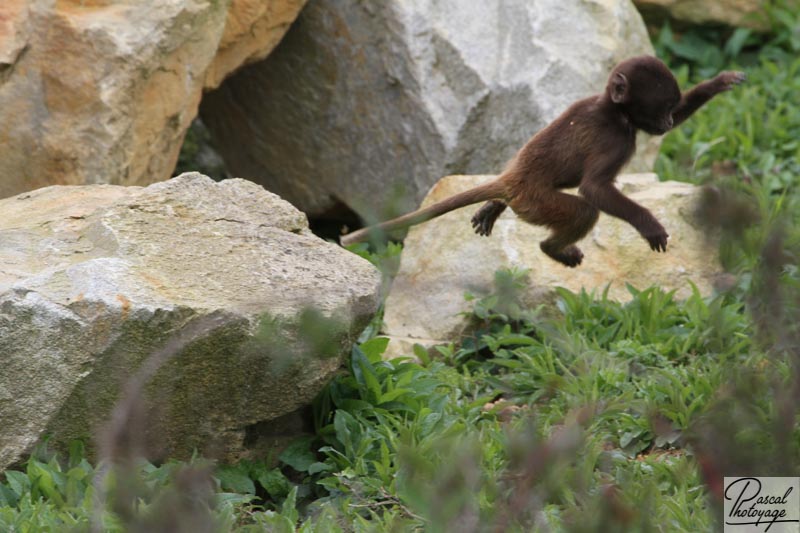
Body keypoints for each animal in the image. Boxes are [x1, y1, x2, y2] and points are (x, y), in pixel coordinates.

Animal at [340, 55, 748, 266]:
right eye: (660, 107)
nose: (664, 123)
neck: (612, 109)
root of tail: (513, 180)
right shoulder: (614, 139)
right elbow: (594, 189)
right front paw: (650, 226)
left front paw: (719, 82)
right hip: (535, 202)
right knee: (583, 210)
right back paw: (552, 250)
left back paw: (495, 206)